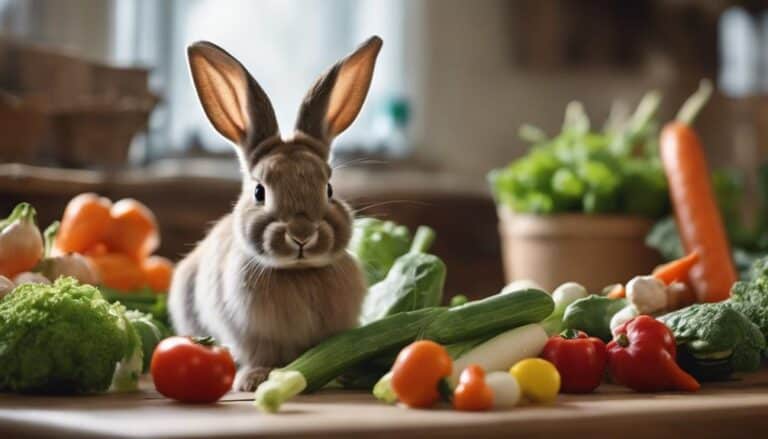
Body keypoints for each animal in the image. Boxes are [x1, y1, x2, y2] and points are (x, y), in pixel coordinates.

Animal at [168, 36, 382, 391]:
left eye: (329, 189)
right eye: (259, 192)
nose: (302, 235)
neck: (298, 271)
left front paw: (345, 374)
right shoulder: (251, 335)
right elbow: (260, 355)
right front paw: (253, 380)